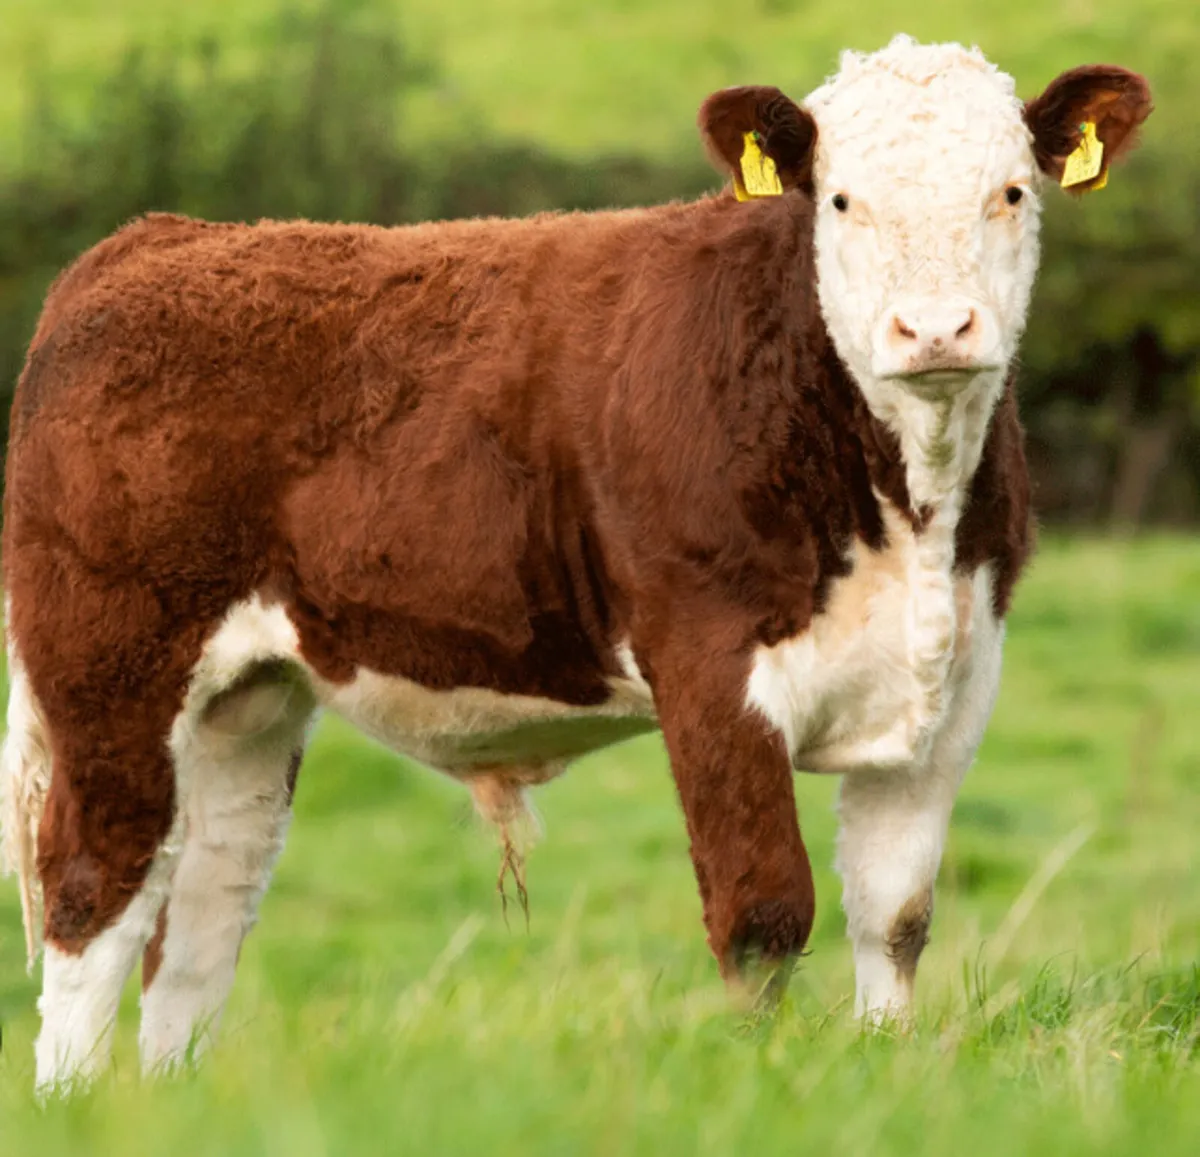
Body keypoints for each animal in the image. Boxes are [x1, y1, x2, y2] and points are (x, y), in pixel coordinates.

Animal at [1, 36, 1151, 1091]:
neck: (907, 499)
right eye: (839, 199)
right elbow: (762, 911)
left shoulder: (953, 680)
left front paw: (883, 1070)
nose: (934, 328)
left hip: (249, 696)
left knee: (204, 899)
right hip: (111, 664)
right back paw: (72, 1098)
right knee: (98, 881)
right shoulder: (710, 665)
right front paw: (759, 1087)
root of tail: (157, 241)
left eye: (1011, 190)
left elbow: (895, 915)